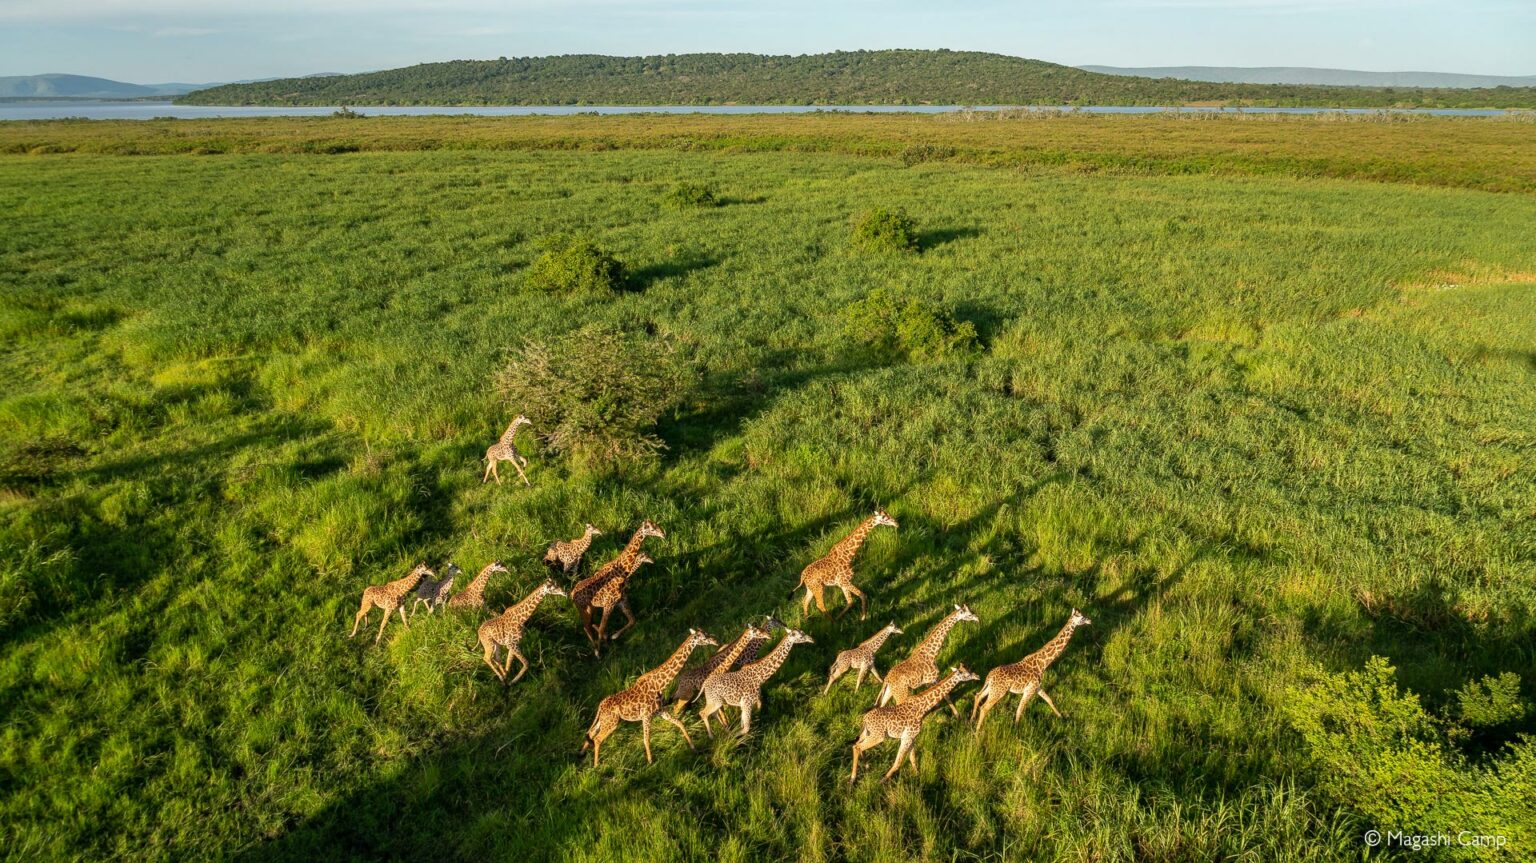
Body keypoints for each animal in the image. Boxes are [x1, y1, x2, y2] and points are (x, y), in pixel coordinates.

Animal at [580, 623, 718, 764]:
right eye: (704, 637)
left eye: (706, 632)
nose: (715, 640)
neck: (659, 684)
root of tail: (600, 706)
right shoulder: (646, 716)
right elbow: (646, 739)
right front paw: (651, 762)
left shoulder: (661, 711)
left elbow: (680, 724)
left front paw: (694, 749)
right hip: (611, 723)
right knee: (597, 739)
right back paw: (596, 765)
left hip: (604, 721)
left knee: (592, 734)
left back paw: (586, 757)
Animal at [847, 660, 976, 783]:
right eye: (967, 673)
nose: (977, 676)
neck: (922, 708)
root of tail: (865, 719)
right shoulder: (907, 737)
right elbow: (898, 762)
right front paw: (882, 780)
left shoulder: (911, 737)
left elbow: (912, 758)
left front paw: (917, 776)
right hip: (878, 736)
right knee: (857, 747)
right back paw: (853, 778)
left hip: (868, 733)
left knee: (857, 744)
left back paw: (866, 766)